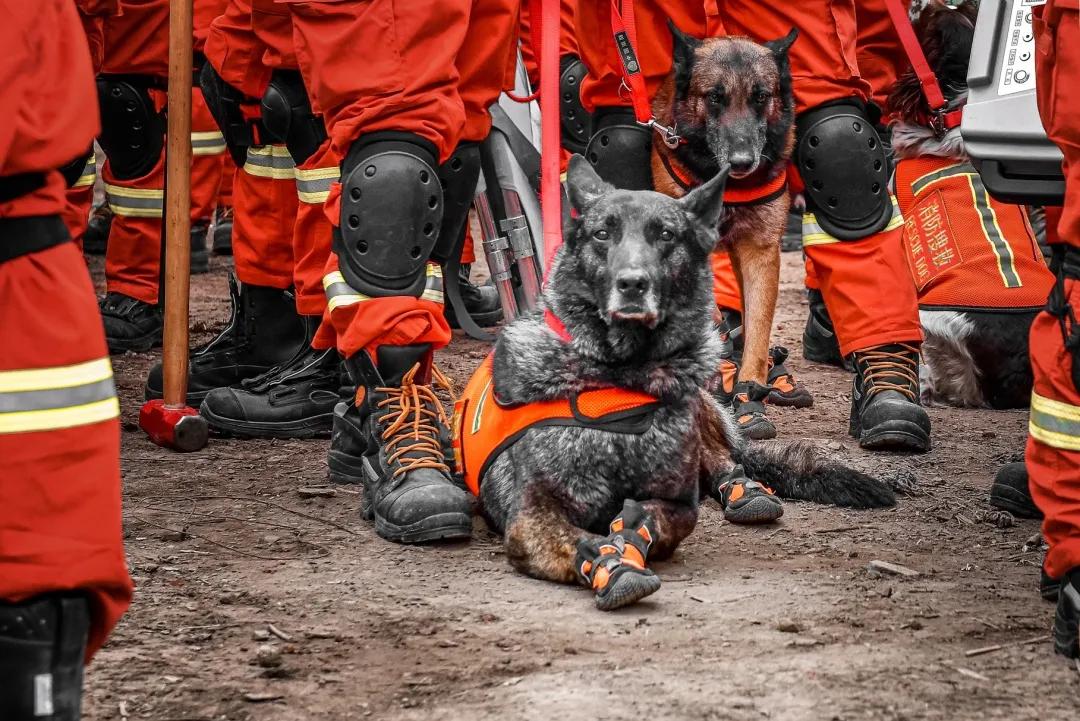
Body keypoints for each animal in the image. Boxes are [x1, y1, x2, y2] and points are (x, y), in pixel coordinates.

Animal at [453, 156, 894, 608]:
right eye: (601, 234)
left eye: (665, 234)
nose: (632, 284)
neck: (621, 379)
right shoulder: (532, 518)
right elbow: (581, 540)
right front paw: (610, 565)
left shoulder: (676, 504)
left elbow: (643, 520)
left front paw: (628, 537)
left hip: (700, 410)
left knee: (724, 461)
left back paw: (746, 492)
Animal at [648, 22, 794, 414]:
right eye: (715, 97)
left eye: (761, 97)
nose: (743, 162)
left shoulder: (760, 250)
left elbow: (758, 323)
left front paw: (750, 383)